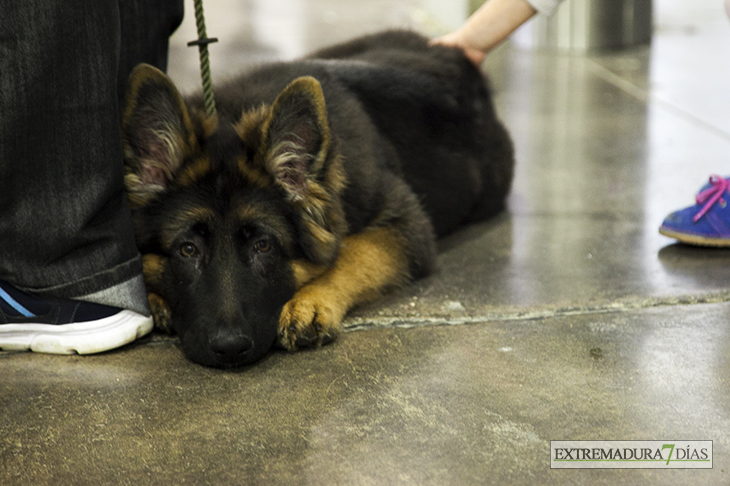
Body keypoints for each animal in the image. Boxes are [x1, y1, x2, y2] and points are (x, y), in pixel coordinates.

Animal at [121, 29, 512, 368]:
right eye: (187, 249)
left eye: (263, 246)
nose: (230, 348)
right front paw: (151, 297)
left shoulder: (410, 225)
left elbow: (355, 253)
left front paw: (309, 301)